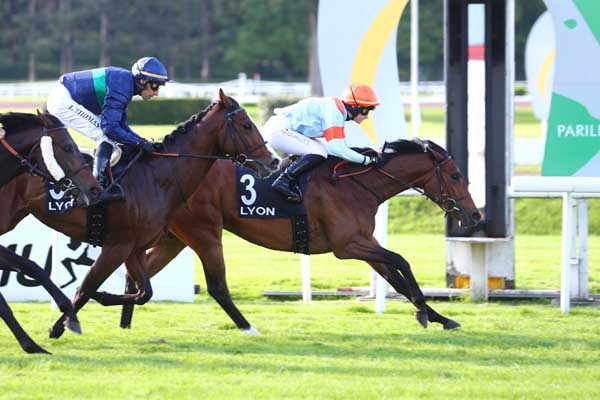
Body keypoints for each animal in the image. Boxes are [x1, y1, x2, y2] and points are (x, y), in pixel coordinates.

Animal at [123, 138, 482, 332]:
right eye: (455, 174)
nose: (475, 216)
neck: (356, 184)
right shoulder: (348, 245)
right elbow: (402, 262)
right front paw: (424, 312)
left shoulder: (365, 243)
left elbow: (395, 277)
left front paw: (441, 318)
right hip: (202, 232)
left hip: (174, 238)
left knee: (137, 273)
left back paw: (124, 321)